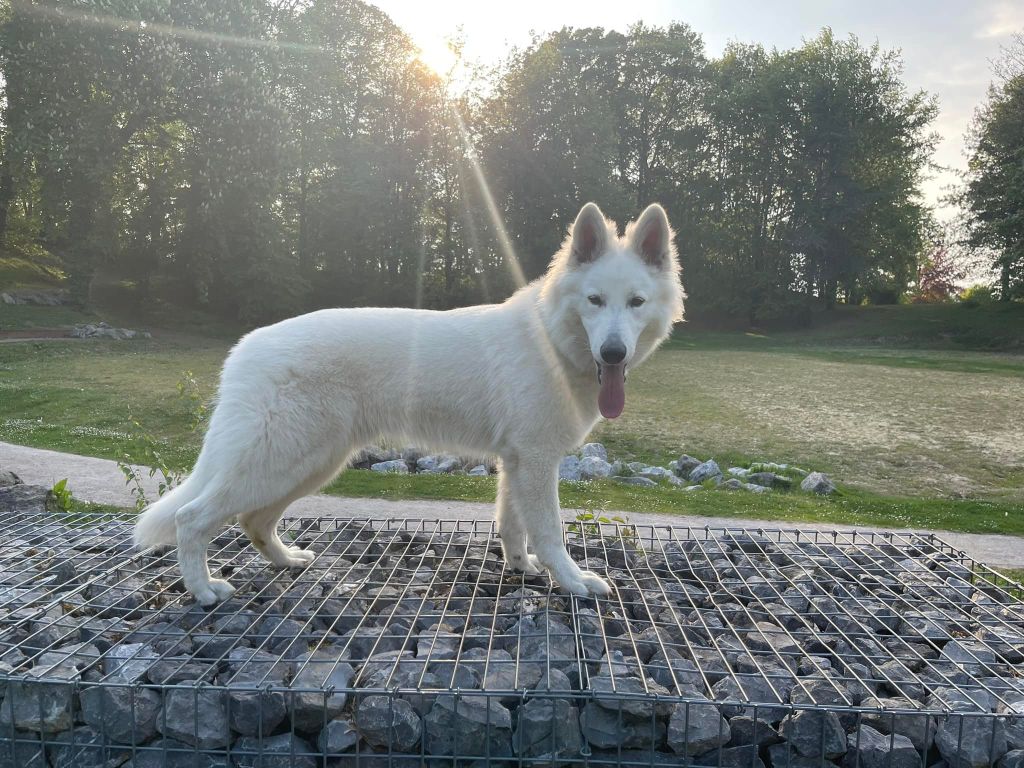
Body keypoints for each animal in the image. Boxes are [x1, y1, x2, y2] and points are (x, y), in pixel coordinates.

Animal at [134, 202, 679, 606]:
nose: (613, 352)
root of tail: (245, 349)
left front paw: (520, 568)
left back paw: (287, 562)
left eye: (635, 302)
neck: (551, 338)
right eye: (594, 300)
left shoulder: (516, 463)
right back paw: (203, 590)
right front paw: (571, 581)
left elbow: (512, 526)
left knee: (254, 521)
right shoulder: (538, 462)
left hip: (310, 463)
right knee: (191, 519)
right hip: (279, 461)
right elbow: (548, 532)